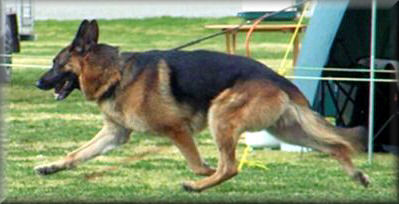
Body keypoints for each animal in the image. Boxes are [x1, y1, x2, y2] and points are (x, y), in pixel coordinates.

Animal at [36, 19, 370, 191]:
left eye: (55, 63)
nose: (38, 83)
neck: (115, 72)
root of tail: (280, 80)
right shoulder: (114, 134)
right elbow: (78, 154)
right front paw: (52, 166)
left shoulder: (177, 129)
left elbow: (196, 163)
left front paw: (204, 171)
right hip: (287, 130)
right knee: (337, 146)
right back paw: (357, 176)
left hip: (219, 115)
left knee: (231, 166)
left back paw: (200, 185)